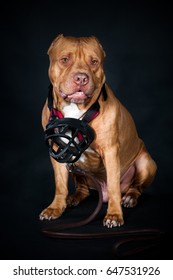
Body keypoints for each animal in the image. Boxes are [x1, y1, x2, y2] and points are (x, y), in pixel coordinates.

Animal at [39, 34, 157, 228]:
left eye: (94, 62)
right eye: (65, 60)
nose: (81, 78)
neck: (77, 109)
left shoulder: (110, 151)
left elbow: (114, 186)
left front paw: (114, 215)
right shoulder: (58, 149)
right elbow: (60, 184)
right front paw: (55, 208)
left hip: (146, 163)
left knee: (136, 187)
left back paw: (130, 197)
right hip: (75, 166)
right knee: (83, 188)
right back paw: (74, 198)